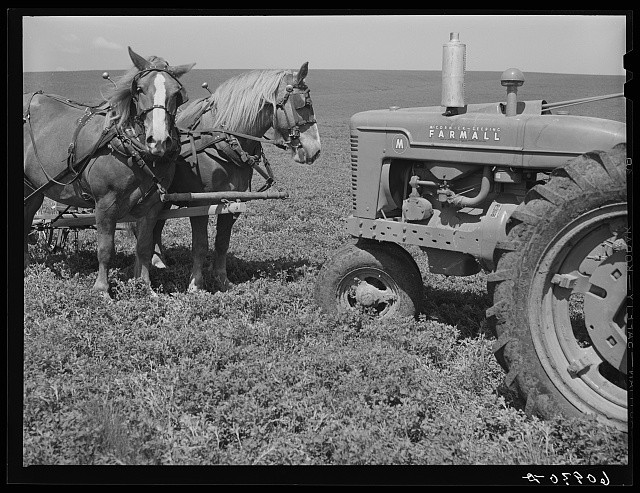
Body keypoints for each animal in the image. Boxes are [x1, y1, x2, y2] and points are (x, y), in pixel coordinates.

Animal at [24, 47, 196, 296]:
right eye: (139, 89)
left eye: (177, 93)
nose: (159, 141)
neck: (134, 152)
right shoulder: (105, 203)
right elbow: (105, 248)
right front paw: (102, 289)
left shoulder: (152, 206)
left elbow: (144, 247)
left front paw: (145, 287)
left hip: (33, 190)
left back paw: (27, 264)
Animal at [151, 62, 321, 291]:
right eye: (303, 104)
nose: (315, 150)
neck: (223, 143)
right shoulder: (200, 204)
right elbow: (200, 245)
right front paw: (196, 284)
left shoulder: (233, 201)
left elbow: (222, 243)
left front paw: (222, 281)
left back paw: (159, 260)